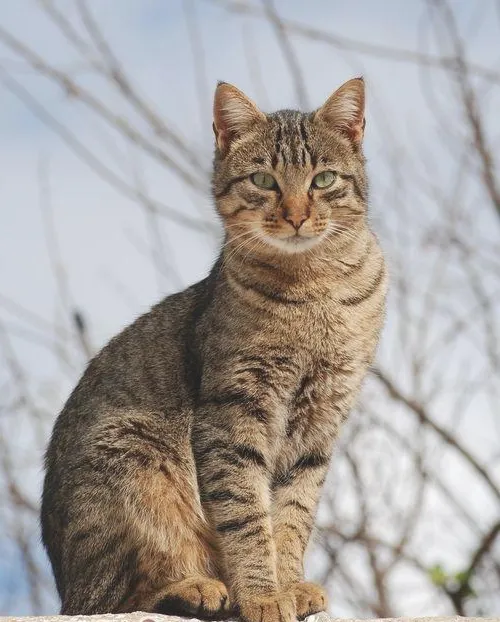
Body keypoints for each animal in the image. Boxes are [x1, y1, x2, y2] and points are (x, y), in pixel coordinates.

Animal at [42, 77, 386, 622]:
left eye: (324, 179)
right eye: (264, 180)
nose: (296, 216)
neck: (314, 288)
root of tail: (65, 583)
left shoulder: (320, 420)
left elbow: (292, 514)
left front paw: (290, 586)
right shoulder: (233, 412)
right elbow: (246, 517)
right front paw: (263, 595)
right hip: (133, 460)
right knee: (113, 598)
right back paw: (196, 588)